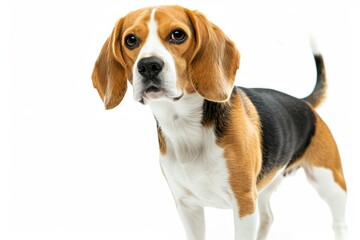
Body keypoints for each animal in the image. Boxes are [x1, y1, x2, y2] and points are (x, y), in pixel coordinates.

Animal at [91, 4, 348, 239]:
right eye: (131, 40)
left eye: (178, 34)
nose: (148, 65)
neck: (184, 124)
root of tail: (304, 103)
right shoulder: (187, 206)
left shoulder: (244, 205)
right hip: (265, 186)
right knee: (268, 217)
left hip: (330, 182)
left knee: (338, 223)